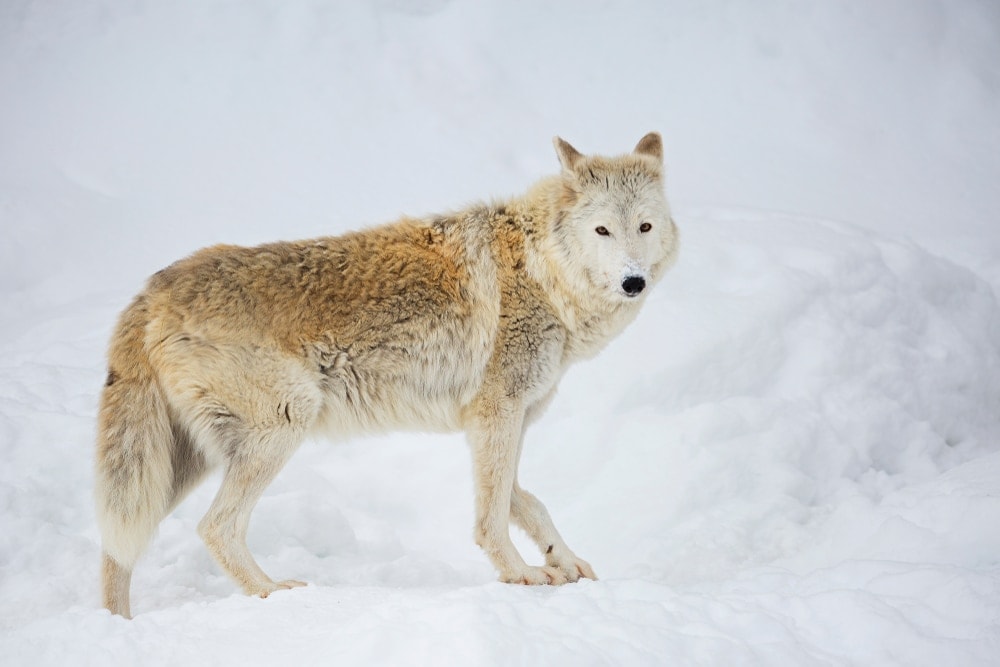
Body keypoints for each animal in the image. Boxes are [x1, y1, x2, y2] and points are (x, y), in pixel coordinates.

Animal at [95, 132, 679, 617]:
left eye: (644, 227)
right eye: (603, 230)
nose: (633, 281)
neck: (541, 271)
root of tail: (151, 291)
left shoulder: (502, 421)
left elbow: (524, 501)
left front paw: (565, 561)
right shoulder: (497, 414)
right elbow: (492, 516)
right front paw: (520, 576)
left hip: (177, 464)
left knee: (116, 543)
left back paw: (117, 625)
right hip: (281, 427)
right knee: (214, 527)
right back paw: (273, 592)